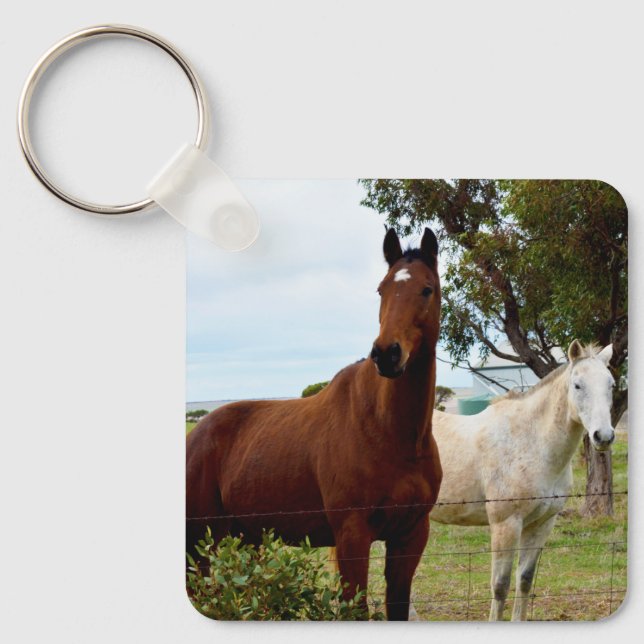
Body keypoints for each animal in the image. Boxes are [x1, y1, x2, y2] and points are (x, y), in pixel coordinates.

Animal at [186, 228, 443, 620]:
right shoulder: (353, 535)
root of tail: (194, 437)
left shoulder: (410, 536)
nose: (387, 354)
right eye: (381, 289)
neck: (391, 433)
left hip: (244, 538)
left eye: (427, 288)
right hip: (201, 544)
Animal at [415, 340, 616, 621]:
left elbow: (525, 580)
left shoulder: (542, 523)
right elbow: (500, 585)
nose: (603, 436)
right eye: (577, 385)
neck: (530, 442)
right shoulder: (506, 524)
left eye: (611, 385)